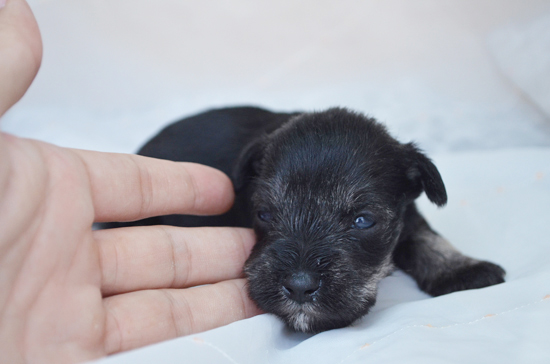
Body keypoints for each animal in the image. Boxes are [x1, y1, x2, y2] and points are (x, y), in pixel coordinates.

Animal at [109, 106, 508, 332]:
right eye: (265, 213)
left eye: (363, 221)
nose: (299, 286)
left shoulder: (407, 213)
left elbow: (423, 234)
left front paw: (461, 268)